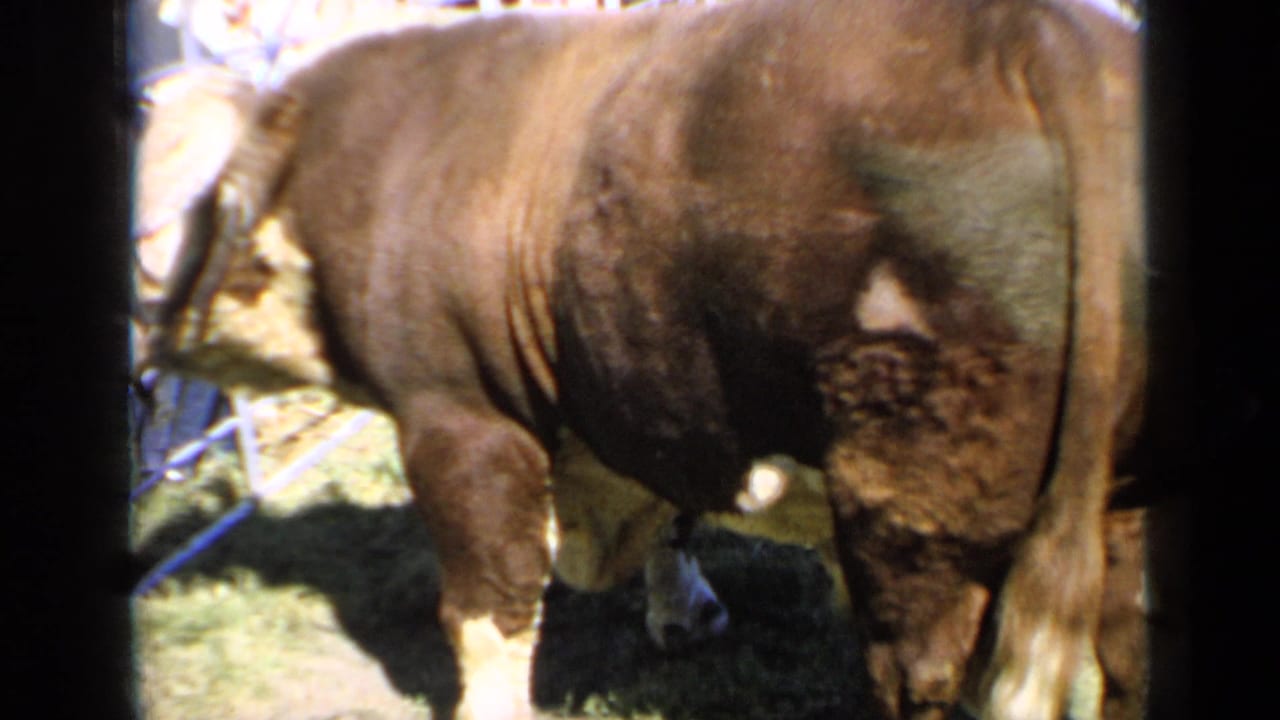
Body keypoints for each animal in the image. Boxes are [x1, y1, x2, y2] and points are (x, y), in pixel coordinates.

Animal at [133, 0, 1145, 718]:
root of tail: (1042, 34)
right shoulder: (647, 397)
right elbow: (673, 517)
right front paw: (682, 612)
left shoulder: (459, 418)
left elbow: (488, 614)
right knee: (1127, 648)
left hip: (912, 514)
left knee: (924, 674)